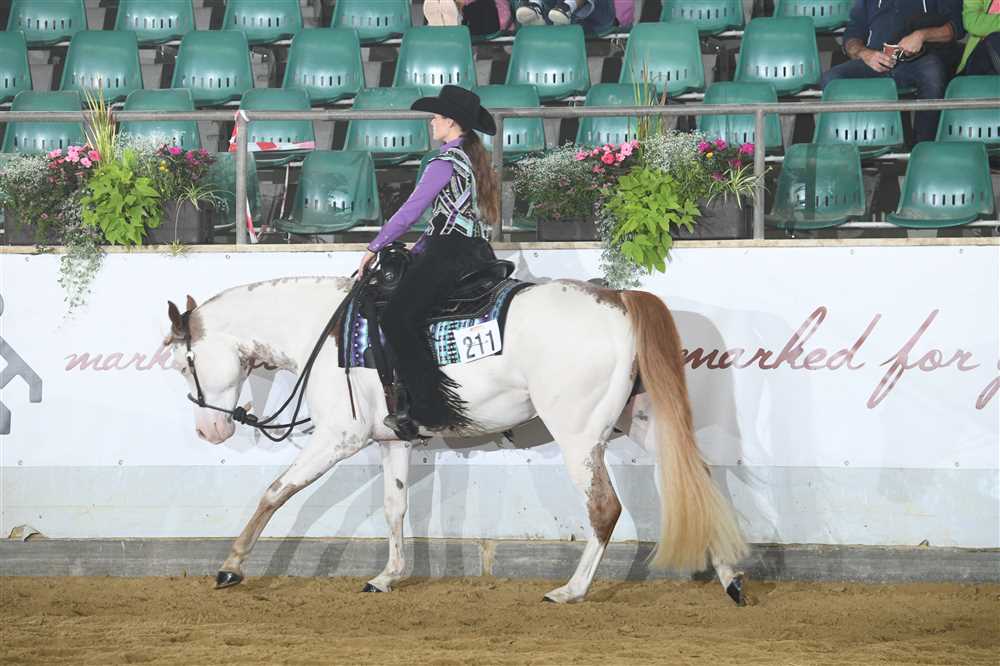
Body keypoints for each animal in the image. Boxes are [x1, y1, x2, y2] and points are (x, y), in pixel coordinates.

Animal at [163, 275, 748, 604]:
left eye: (184, 361)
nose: (209, 429)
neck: (327, 333)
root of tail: (619, 298)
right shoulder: (391, 441)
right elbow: (395, 506)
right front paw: (388, 577)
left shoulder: (338, 437)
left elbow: (276, 493)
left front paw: (231, 566)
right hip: (643, 420)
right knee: (699, 480)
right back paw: (731, 579)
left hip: (579, 434)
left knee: (604, 508)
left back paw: (571, 590)